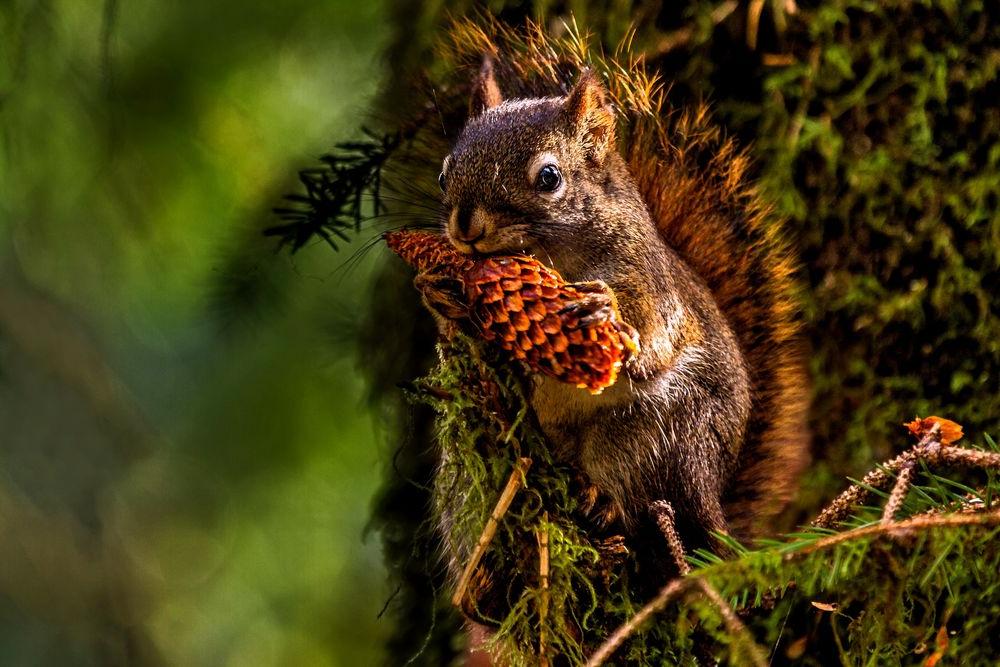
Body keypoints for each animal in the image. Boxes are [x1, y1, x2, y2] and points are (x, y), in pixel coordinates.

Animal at [416, 56, 812, 560]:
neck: (553, 259)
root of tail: (714, 499)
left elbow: (652, 323)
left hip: (659, 432)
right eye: (444, 174)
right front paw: (440, 293)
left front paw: (603, 307)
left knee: (635, 491)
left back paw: (604, 500)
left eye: (549, 178)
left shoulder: (650, 278)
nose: (465, 227)